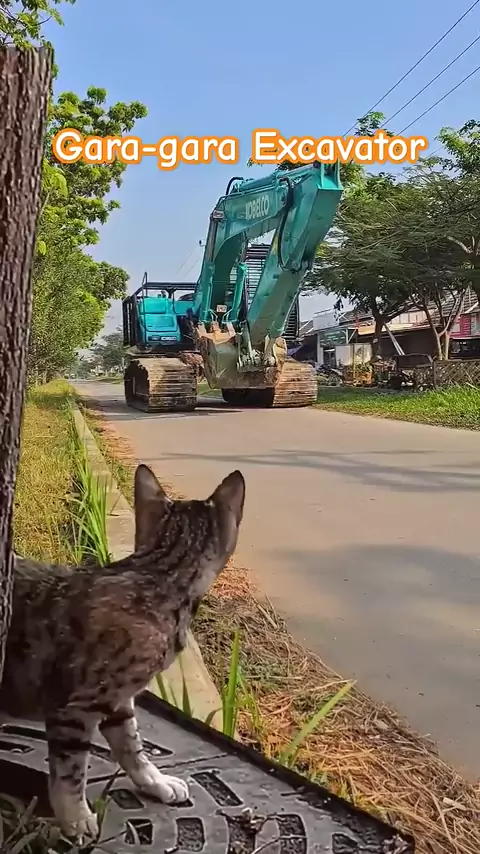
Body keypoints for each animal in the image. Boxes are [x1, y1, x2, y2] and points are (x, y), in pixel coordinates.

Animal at [0, 463, 245, 840]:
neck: (159, 577)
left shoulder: (119, 701)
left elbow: (133, 747)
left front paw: (156, 783)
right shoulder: (75, 706)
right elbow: (72, 770)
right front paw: (76, 817)